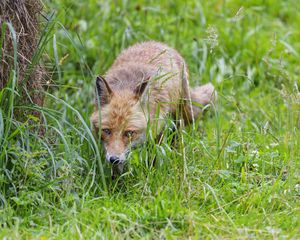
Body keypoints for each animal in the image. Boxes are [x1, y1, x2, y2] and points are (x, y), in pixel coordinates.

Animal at [90, 41, 217, 172]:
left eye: (129, 133)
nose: (114, 159)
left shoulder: (159, 126)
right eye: (106, 131)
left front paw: (152, 170)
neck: (126, 87)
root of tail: (159, 43)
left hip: (177, 115)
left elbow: (155, 154)